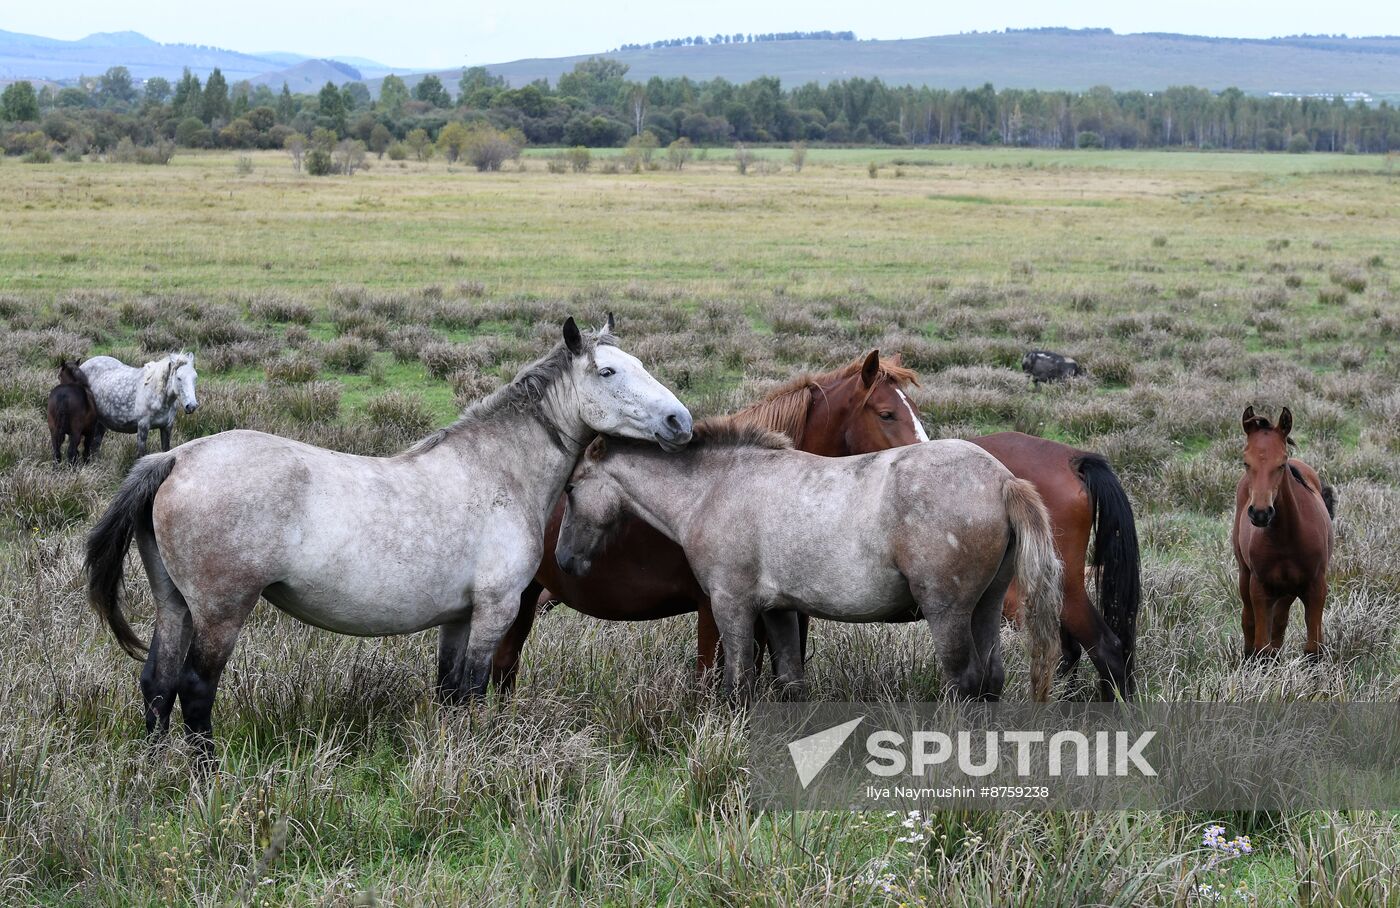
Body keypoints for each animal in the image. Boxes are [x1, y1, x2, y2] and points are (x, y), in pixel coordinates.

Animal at [88, 314, 694, 749]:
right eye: (608, 373)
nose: (680, 422)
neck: (497, 470)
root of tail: (176, 458)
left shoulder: (457, 618)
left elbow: (450, 692)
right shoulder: (494, 610)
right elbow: (476, 690)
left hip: (176, 605)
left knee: (157, 684)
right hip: (221, 611)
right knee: (194, 689)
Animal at [551, 416, 1064, 702]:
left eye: (571, 487)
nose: (563, 559)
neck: (716, 488)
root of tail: (1003, 480)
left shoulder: (731, 605)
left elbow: (738, 685)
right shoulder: (779, 610)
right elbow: (790, 683)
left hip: (947, 612)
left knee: (965, 681)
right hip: (986, 606)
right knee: (992, 679)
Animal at [1237, 408, 1332, 654]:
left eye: (1281, 463)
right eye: (1246, 462)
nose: (1261, 513)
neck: (1286, 538)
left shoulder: (1316, 589)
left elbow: (1313, 649)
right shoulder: (1260, 589)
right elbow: (1262, 648)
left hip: (1288, 591)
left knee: (1279, 624)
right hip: (1245, 574)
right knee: (1248, 621)